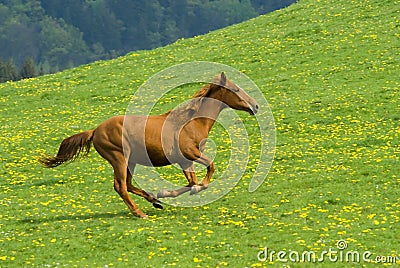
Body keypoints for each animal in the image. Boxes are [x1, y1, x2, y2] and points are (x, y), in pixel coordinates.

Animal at [39, 71, 260, 218]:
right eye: (236, 89)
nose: (256, 106)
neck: (191, 122)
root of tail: (95, 131)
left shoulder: (184, 160)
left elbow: (191, 181)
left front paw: (165, 193)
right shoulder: (190, 153)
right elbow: (209, 169)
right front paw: (196, 189)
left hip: (131, 161)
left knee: (128, 184)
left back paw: (155, 201)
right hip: (119, 158)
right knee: (120, 186)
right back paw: (139, 213)